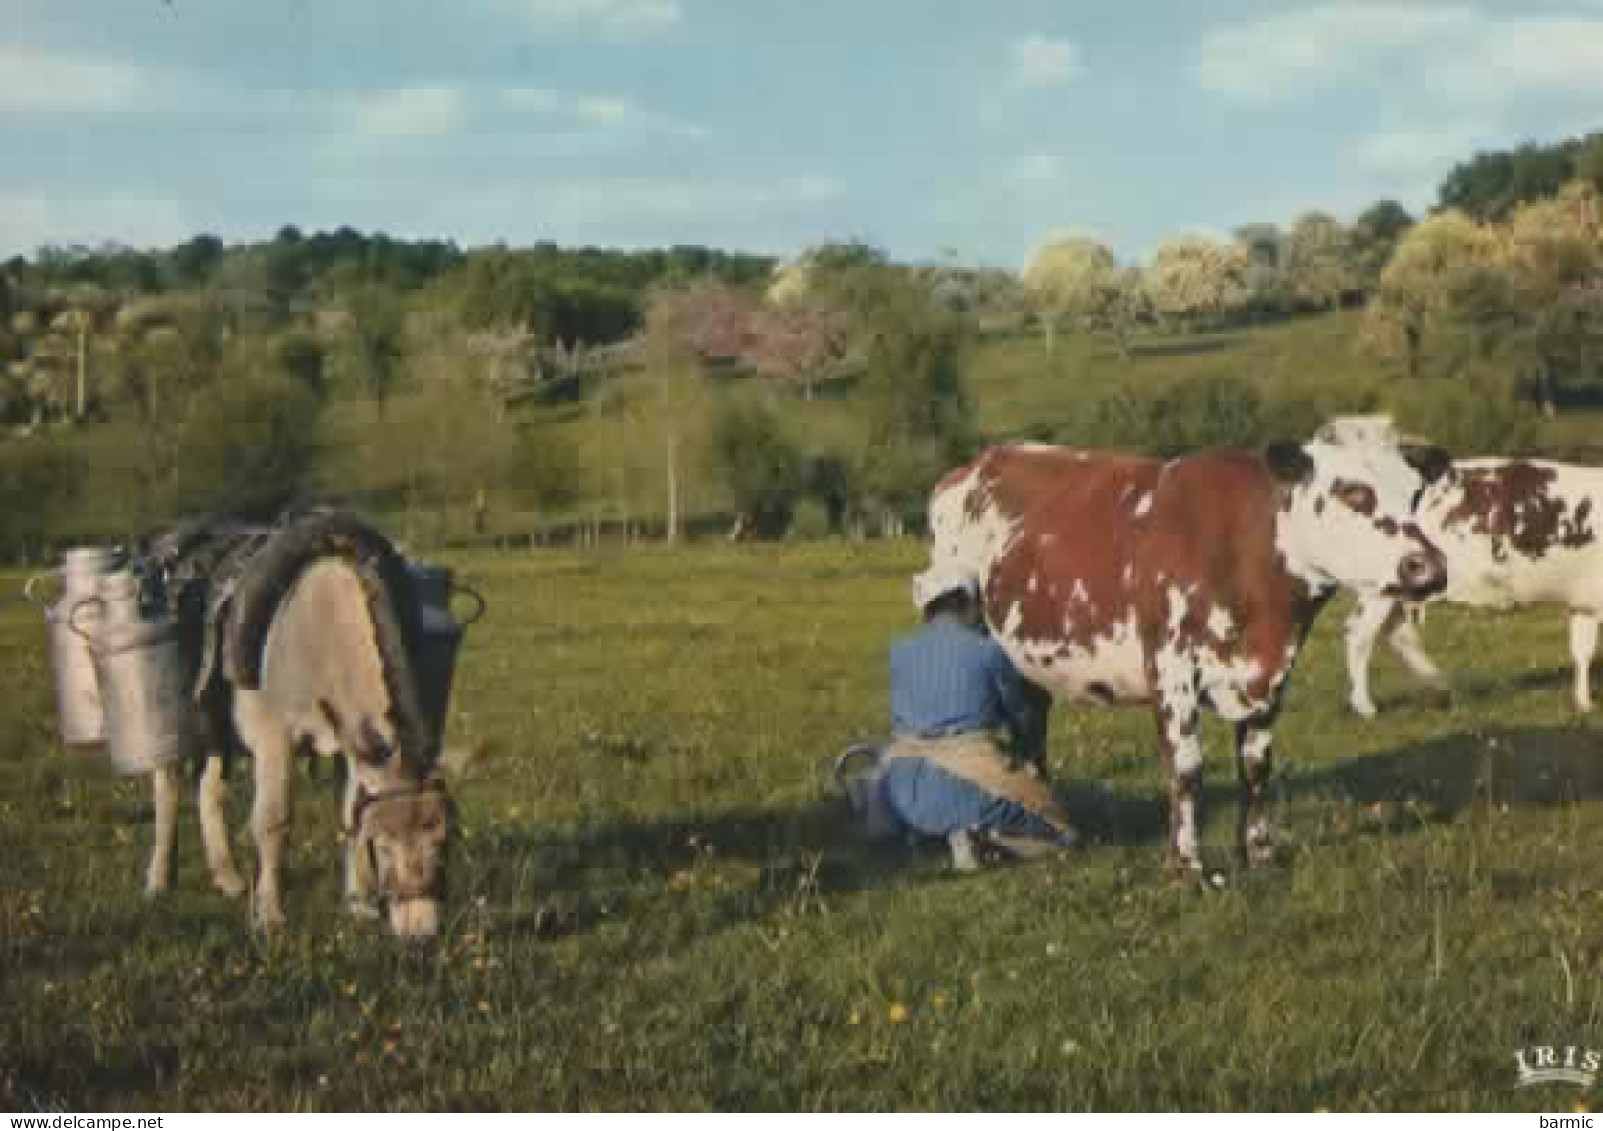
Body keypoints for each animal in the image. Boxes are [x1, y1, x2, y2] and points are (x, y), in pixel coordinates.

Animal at [929, 435, 1455, 877]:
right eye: (1353, 492)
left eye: (1415, 495)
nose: (1427, 566)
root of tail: (981, 460)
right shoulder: (1172, 670)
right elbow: (1186, 769)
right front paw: (1188, 868)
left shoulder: (1270, 678)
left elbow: (1256, 768)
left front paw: (1258, 854)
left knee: (1032, 730)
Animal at [1346, 454, 1596, 714]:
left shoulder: (1584, 601)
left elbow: (1582, 651)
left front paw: (1583, 702)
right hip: (1385, 586)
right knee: (1360, 635)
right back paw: (1365, 706)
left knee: (1397, 633)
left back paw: (1439, 683)